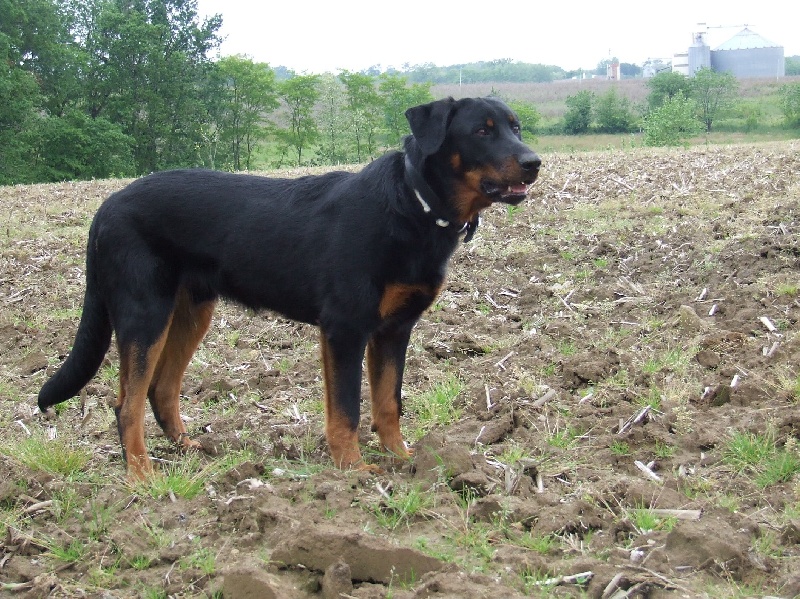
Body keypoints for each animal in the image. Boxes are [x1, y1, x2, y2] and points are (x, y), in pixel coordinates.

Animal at [36, 98, 536, 480]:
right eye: (482, 131)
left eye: (516, 127)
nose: (534, 163)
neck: (414, 204)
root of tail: (105, 207)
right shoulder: (344, 329)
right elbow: (347, 409)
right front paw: (353, 470)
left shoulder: (394, 330)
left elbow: (388, 403)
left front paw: (403, 459)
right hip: (145, 314)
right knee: (127, 405)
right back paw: (141, 475)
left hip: (191, 313)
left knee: (160, 390)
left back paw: (187, 449)